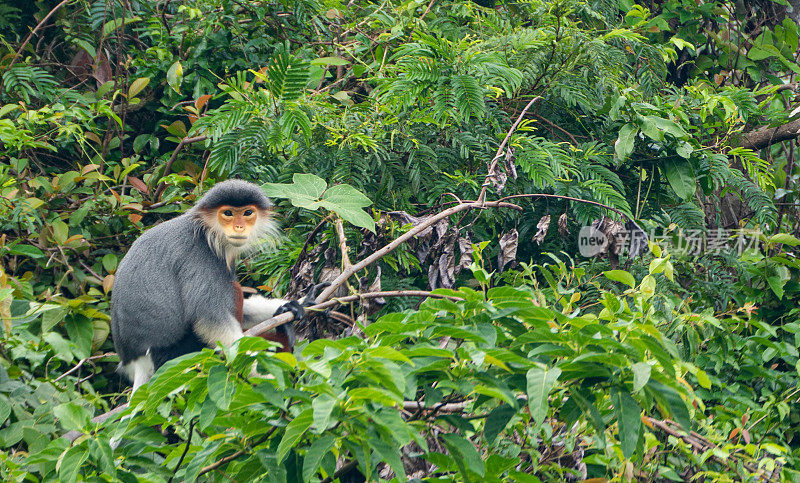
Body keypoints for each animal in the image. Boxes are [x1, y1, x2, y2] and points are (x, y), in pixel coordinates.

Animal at [112, 180, 310, 392]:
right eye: (228, 213)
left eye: (247, 213)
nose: (239, 227)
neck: (205, 231)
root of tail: (136, 362)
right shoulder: (200, 258)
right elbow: (211, 320)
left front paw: (297, 304)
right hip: (175, 355)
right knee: (233, 289)